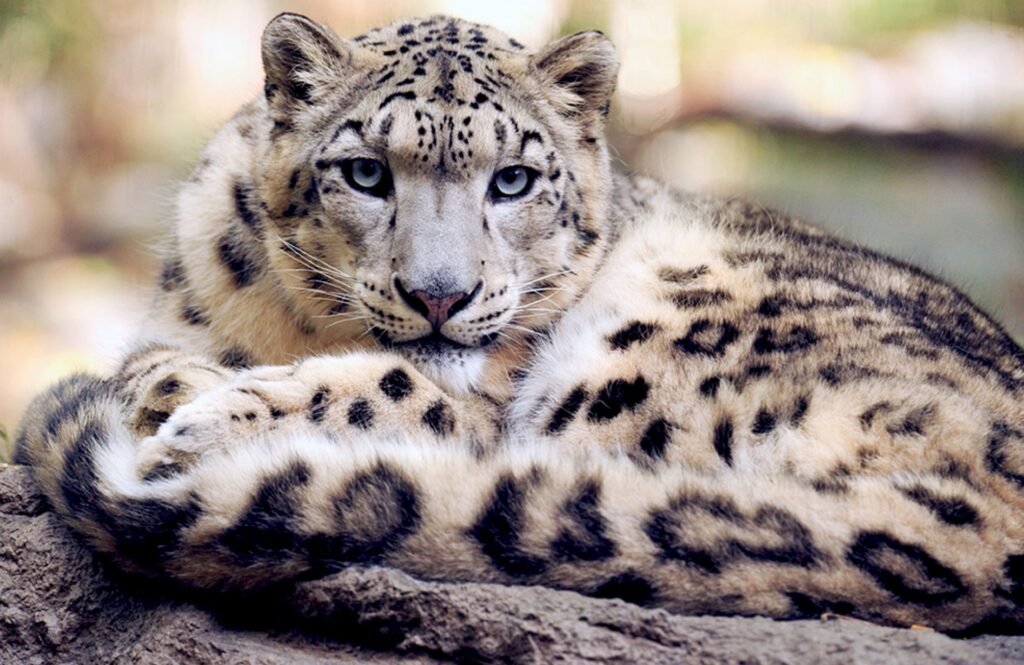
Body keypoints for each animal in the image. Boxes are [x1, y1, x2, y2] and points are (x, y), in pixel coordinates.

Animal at [13, 13, 1024, 634]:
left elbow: (396, 387)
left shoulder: (482, 400)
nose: (439, 294)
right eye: (365, 171)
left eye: (514, 179)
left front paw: (206, 415)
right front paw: (177, 387)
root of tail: (991, 529)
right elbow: (154, 359)